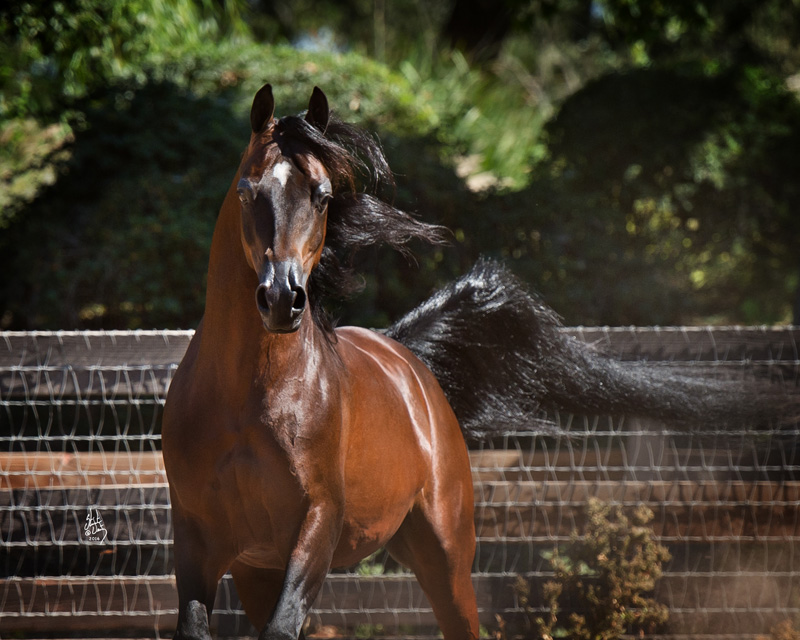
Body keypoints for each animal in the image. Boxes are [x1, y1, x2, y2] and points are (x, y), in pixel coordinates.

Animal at [161, 85, 780, 640]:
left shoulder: (316, 525)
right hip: (259, 570)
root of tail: (409, 361)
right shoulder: (197, 538)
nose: (282, 299)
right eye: (248, 191)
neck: (250, 394)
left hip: (445, 552)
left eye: (322, 195)